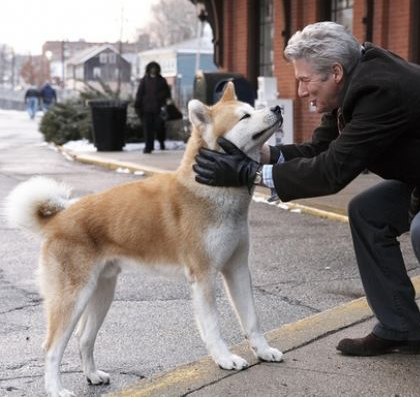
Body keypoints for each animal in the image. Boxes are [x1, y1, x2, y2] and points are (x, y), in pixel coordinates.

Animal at [4, 82, 282, 394]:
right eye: (245, 116)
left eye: (253, 108)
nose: (276, 108)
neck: (212, 190)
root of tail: (59, 218)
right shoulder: (204, 277)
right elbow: (213, 326)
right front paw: (224, 358)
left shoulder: (237, 269)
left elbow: (252, 319)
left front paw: (263, 350)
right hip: (73, 297)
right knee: (51, 348)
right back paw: (56, 389)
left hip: (102, 292)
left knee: (83, 338)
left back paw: (93, 375)